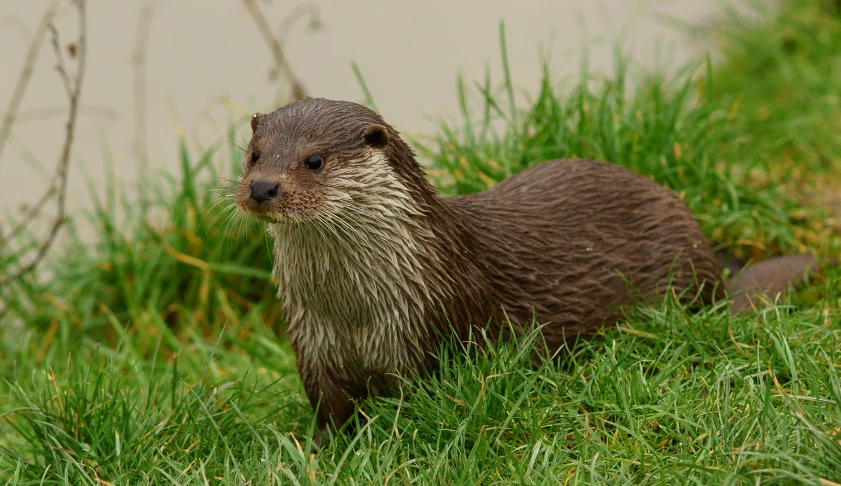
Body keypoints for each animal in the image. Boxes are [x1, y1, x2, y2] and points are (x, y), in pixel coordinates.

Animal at [233, 98, 816, 444]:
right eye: (254, 154)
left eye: (314, 160)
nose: (262, 187)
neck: (353, 312)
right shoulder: (312, 343)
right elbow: (329, 412)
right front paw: (324, 452)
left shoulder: (432, 334)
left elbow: (414, 404)